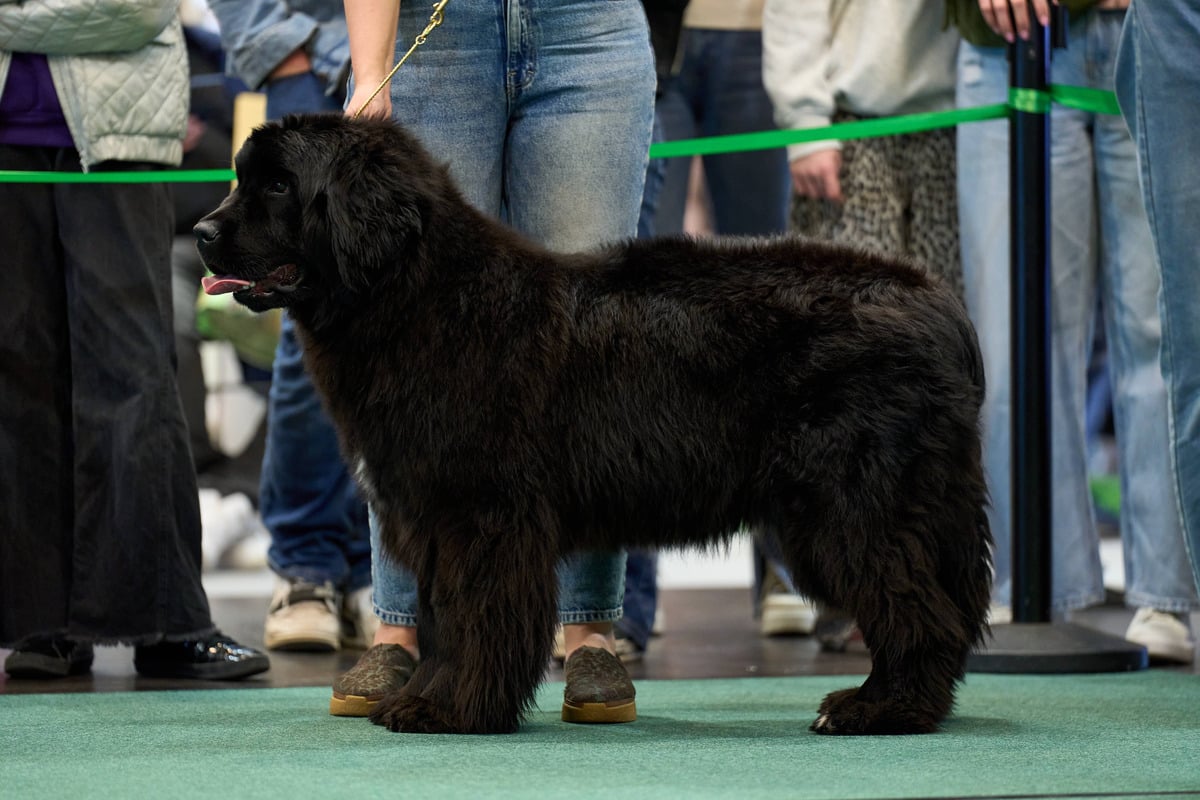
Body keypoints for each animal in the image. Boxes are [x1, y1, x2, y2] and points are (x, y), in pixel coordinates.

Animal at [195, 113, 992, 736]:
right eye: (242, 178)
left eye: (277, 186)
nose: (201, 231)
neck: (416, 294)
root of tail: (935, 299)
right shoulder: (432, 514)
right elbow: (443, 618)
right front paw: (424, 698)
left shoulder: (483, 513)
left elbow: (474, 616)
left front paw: (451, 710)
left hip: (852, 504)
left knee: (918, 611)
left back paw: (881, 709)